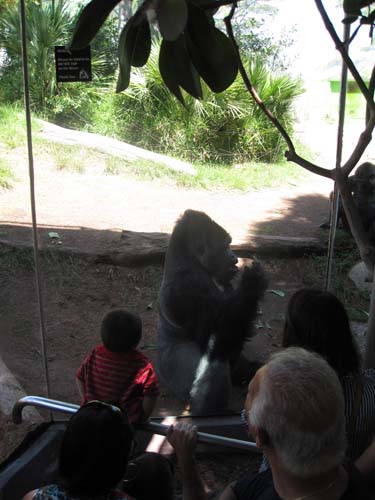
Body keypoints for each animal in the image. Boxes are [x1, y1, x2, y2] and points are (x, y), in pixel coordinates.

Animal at [157, 209, 268, 416]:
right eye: (225, 246)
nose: (234, 257)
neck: (188, 260)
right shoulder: (189, 286)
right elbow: (218, 330)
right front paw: (252, 284)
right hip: (170, 372)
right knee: (215, 359)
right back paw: (210, 411)